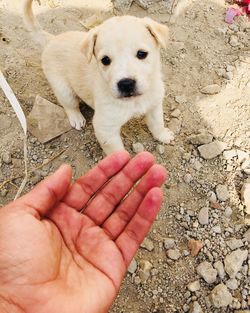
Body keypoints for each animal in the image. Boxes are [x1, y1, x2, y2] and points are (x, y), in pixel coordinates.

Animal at [23, 0, 174, 154]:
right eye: (105, 60)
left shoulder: (154, 105)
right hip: (63, 89)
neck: (134, 101)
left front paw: (163, 135)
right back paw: (76, 118)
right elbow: (116, 152)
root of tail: (52, 39)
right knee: (69, 105)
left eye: (142, 54)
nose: (126, 84)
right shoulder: (105, 128)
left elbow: (157, 123)